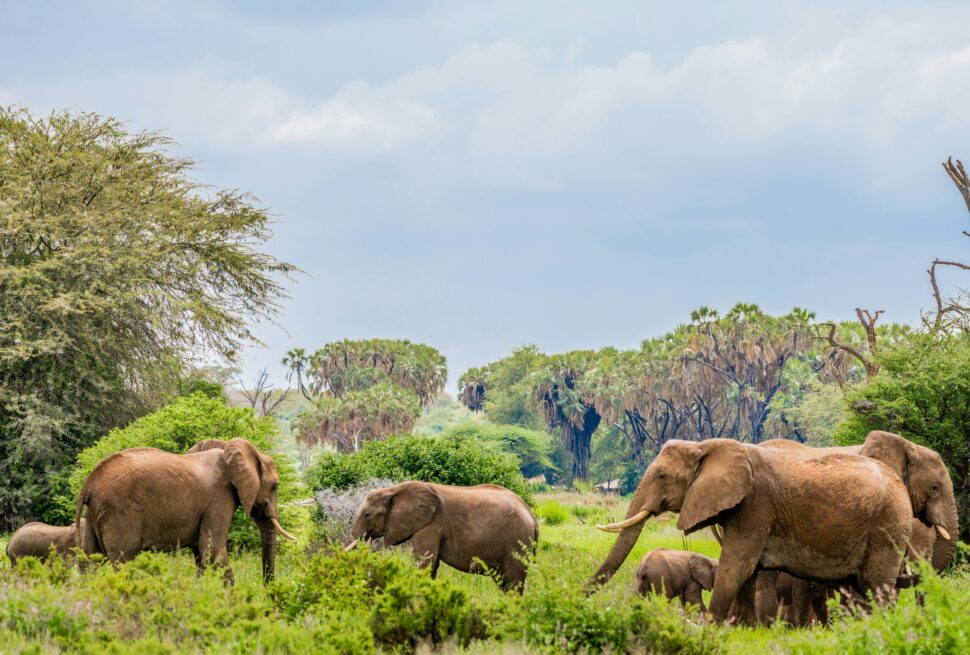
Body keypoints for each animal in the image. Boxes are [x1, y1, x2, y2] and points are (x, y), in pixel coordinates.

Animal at [74, 437, 295, 582]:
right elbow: (212, 550)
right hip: (119, 514)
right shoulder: (219, 498)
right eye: (275, 486)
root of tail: (88, 484)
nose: (267, 590)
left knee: (89, 561)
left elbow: (201, 553)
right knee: (123, 562)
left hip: (95, 515)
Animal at [346, 481, 538, 592]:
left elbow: (425, 562)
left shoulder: (431, 524)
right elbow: (432, 565)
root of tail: (532, 516)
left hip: (516, 541)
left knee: (513, 583)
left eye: (367, 515)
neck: (393, 489)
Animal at [588, 438, 913, 622]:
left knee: (877, 586)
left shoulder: (756, 507)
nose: (581, 595)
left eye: (662, 476)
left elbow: (736, 566)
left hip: (887, 529)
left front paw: (710, 626)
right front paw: (747, 629)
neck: (706, 447)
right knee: (859, 589)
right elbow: (748, 572)